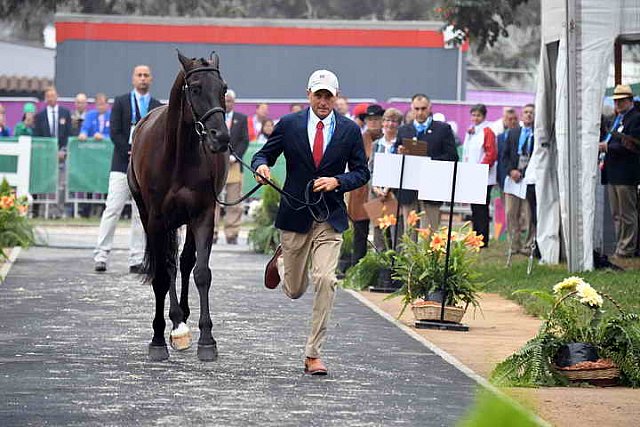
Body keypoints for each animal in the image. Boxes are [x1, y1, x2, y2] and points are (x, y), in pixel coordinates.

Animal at [127, 51, 230, 362]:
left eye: (223, 89)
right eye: (195, 88)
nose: (221, 137)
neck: (177, 156)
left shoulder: (203, 215)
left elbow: (201, 272)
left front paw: (207, 340)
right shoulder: (156, 219)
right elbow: (162, 275)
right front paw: (158, 339)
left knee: (183, 262)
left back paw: (181, 318)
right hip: (152, 217)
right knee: (169, 265)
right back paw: (174, 324)